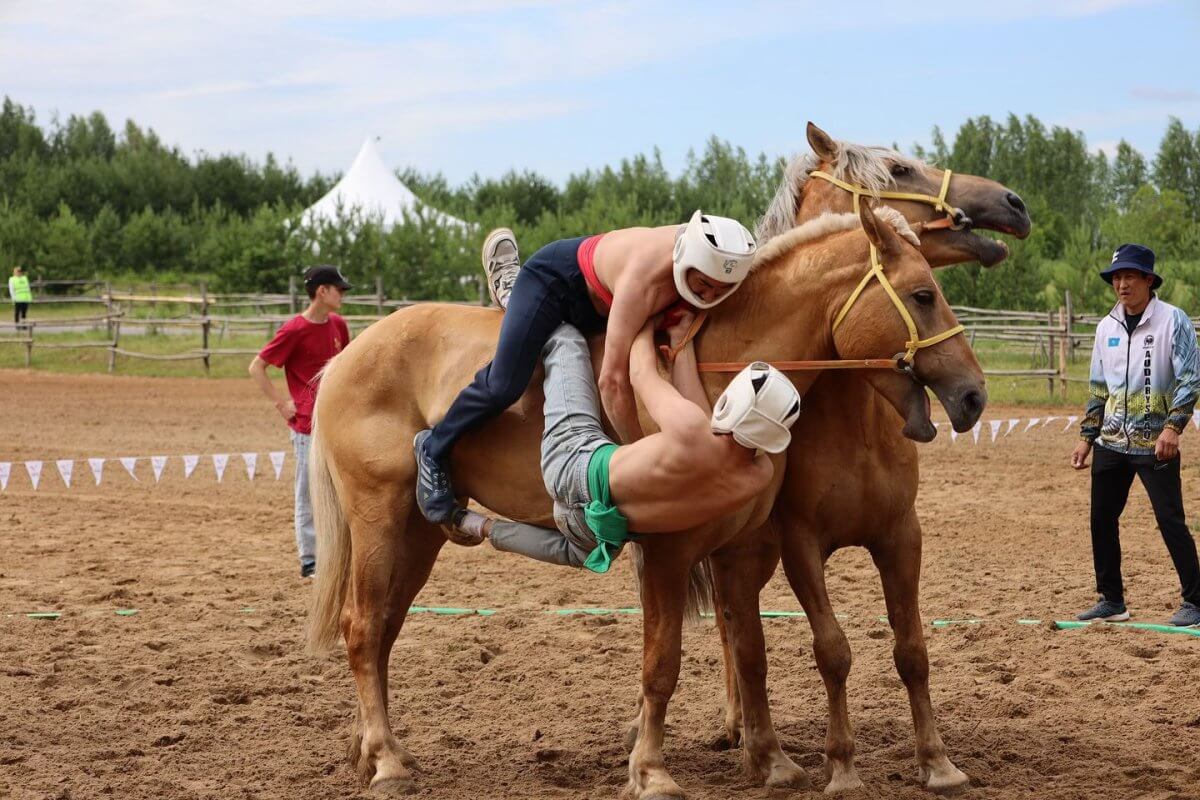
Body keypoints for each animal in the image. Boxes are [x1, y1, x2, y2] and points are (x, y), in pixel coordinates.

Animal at [307, 199, 984, 796]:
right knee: (362, 629)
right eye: (923, 295)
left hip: (416, 533)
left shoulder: (741, 551)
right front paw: (652, 771)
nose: (974, 395)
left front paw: (772, 762)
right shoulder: (668, 554)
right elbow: (663, 664)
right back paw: (387, 761)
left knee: (384, 628)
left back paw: (374, 750)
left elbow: (751, 652)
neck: (714, 370)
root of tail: (349, 355)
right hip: (378, 519)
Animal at [705, 125, 1036, 796]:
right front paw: (842, 766)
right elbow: (832, 651)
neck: (854, 423)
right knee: (731, 630)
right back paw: (747, 739)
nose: (1011, 203)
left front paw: (937, 761)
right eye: (901, 169)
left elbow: (912, 649)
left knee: (738, 630)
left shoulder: (900, 535)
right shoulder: (801, 545)